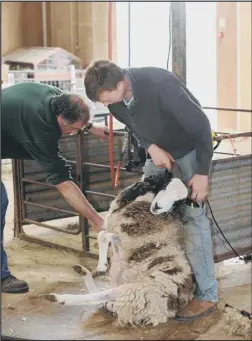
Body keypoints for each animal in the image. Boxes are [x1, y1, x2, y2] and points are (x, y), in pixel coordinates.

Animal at [47, 171, 196, 326]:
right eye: (165, 184)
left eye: (178, 202)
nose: (158, 207)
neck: (144, 201)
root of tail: (165, 312)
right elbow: (102, 234)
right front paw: (101, 267)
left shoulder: (126, 238)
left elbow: (105, 235)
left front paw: (102, 267)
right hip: (121, 280)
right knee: (103, 300)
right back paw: (82, 272)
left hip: (132, 290)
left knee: (98, 297)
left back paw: (59, 298)